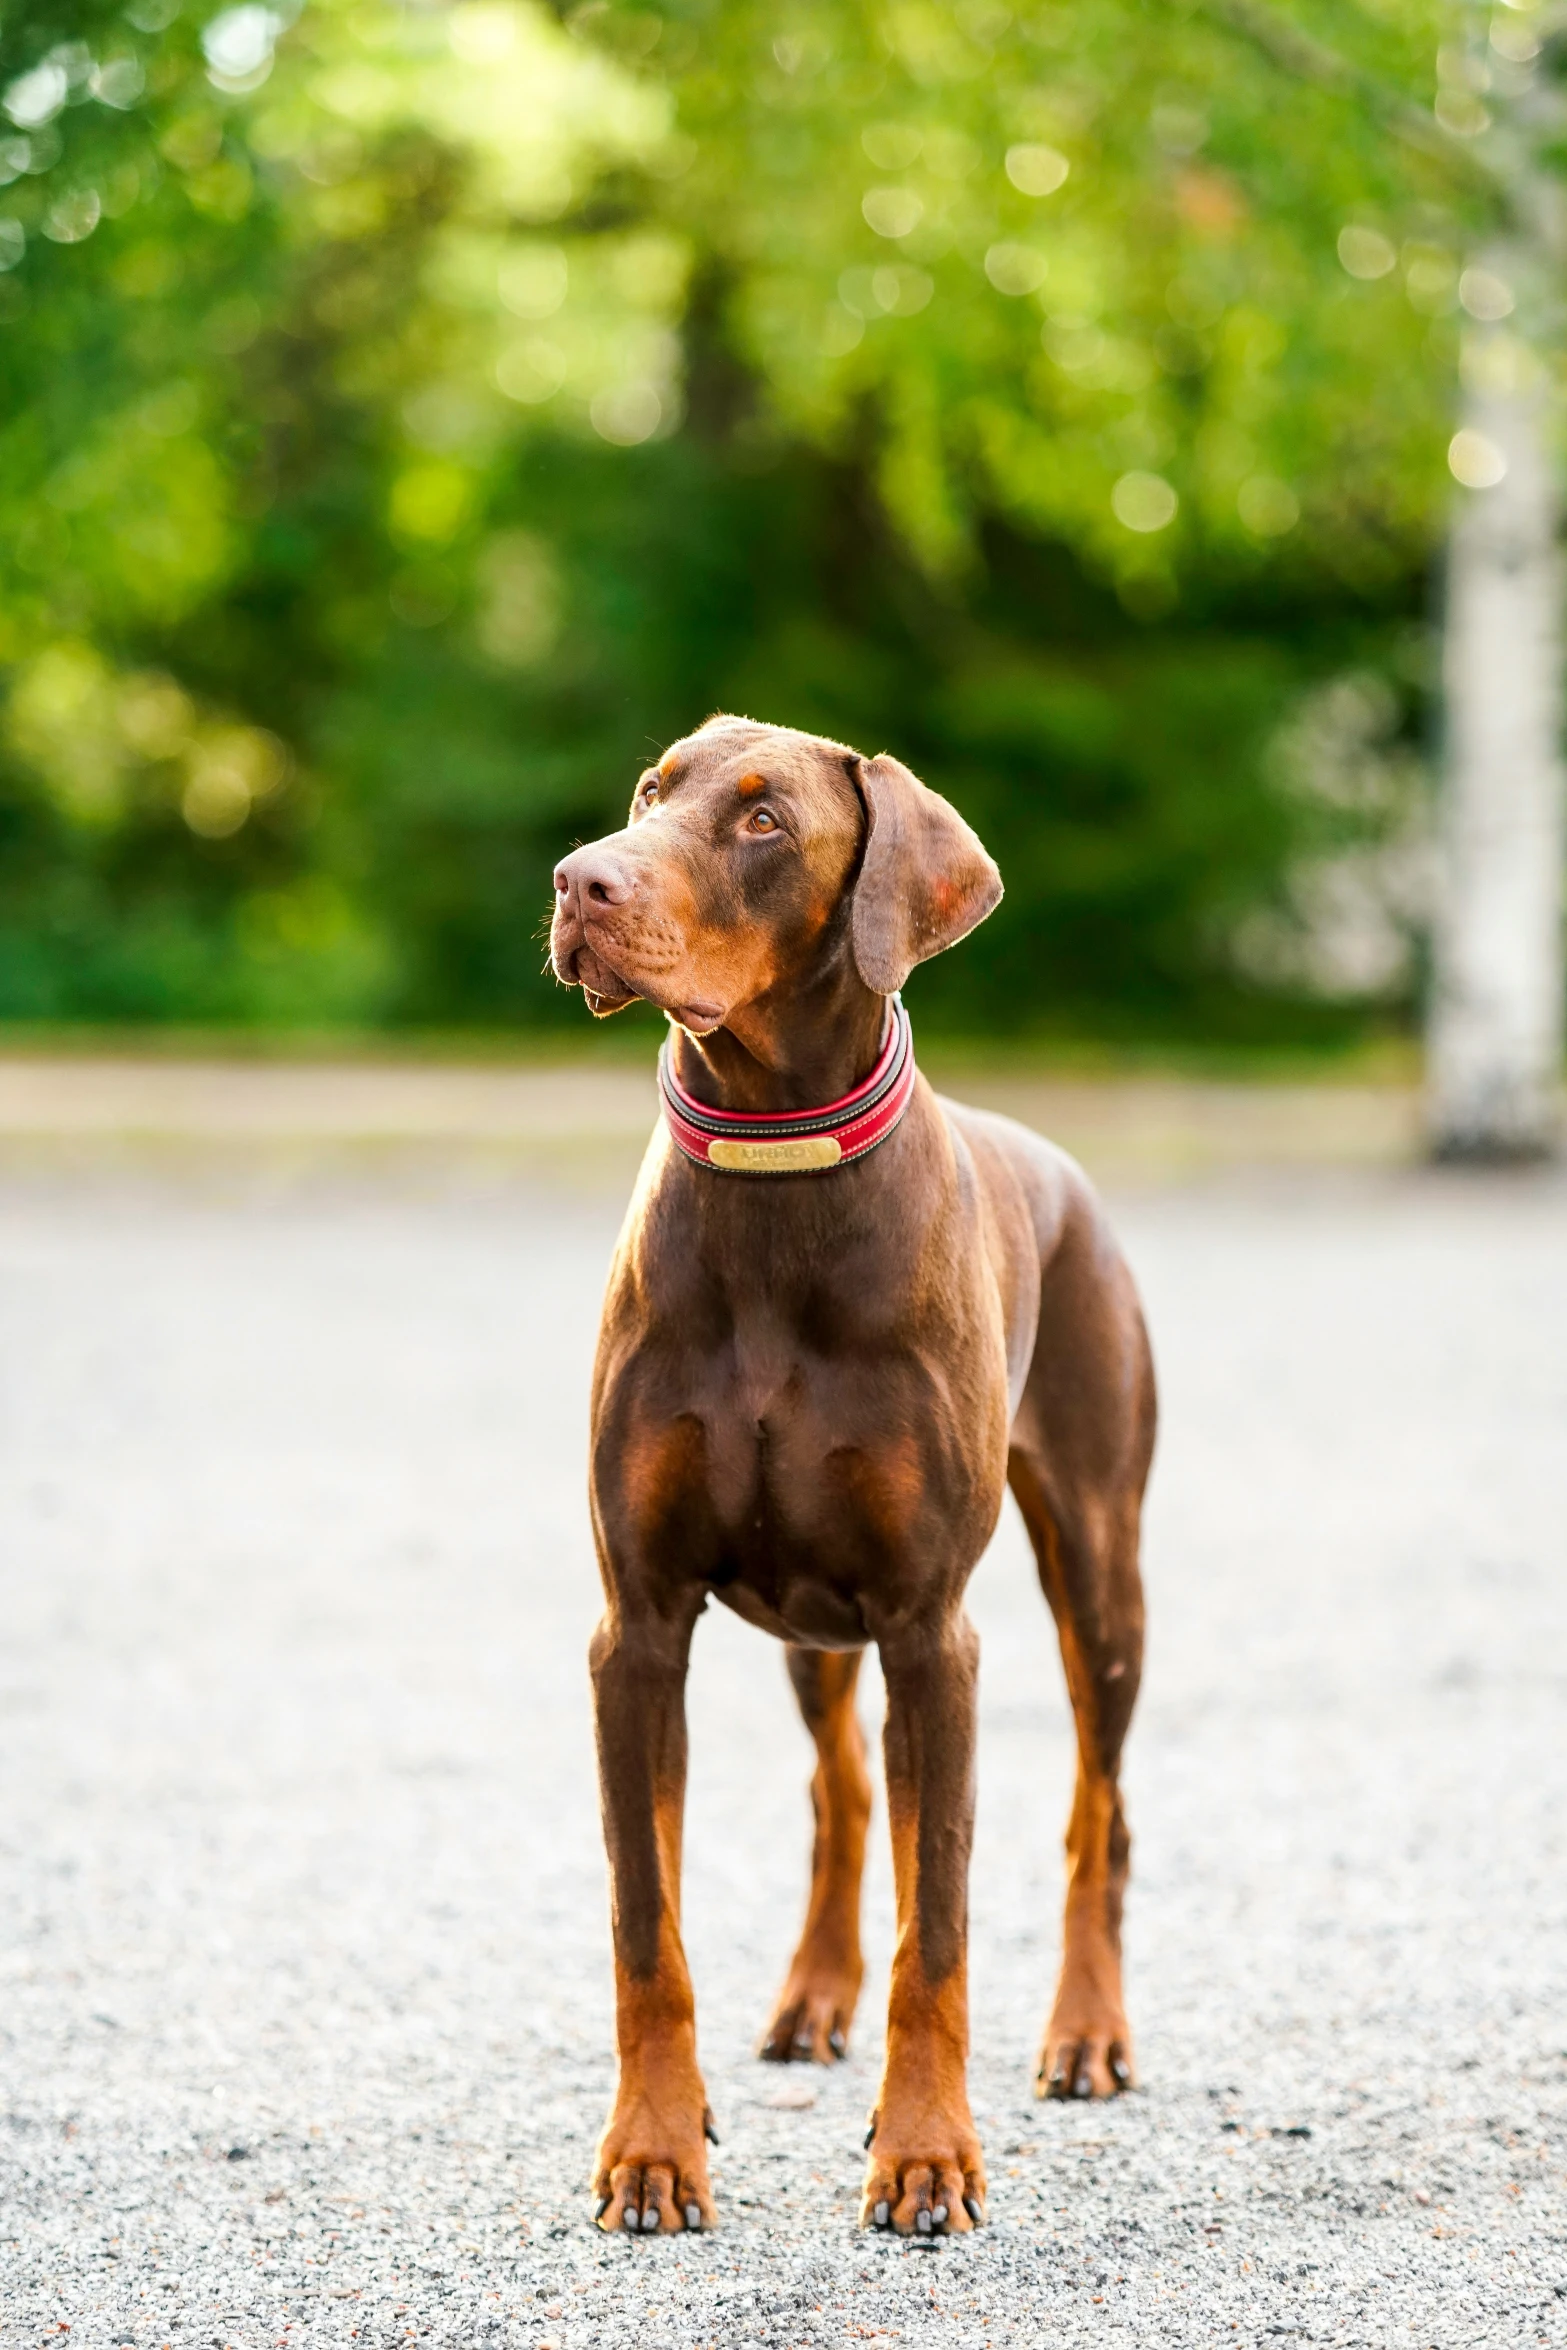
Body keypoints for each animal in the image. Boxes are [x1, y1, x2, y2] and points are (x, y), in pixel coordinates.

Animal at [549, 714, 1151, 2237]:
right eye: (652, 791)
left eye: (763, 820)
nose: (580, 880)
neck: (775, 1177)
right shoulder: (639, 1625)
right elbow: (645, 1918)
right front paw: (654, 2148)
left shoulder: (930, 1630)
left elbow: (936, 1929)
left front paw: (925, 2154)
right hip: (811, 1624)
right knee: (842, 1795)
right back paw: (810, 1999)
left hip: (1097, 1578)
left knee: (1095, 1818)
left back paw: (1085, 2031)